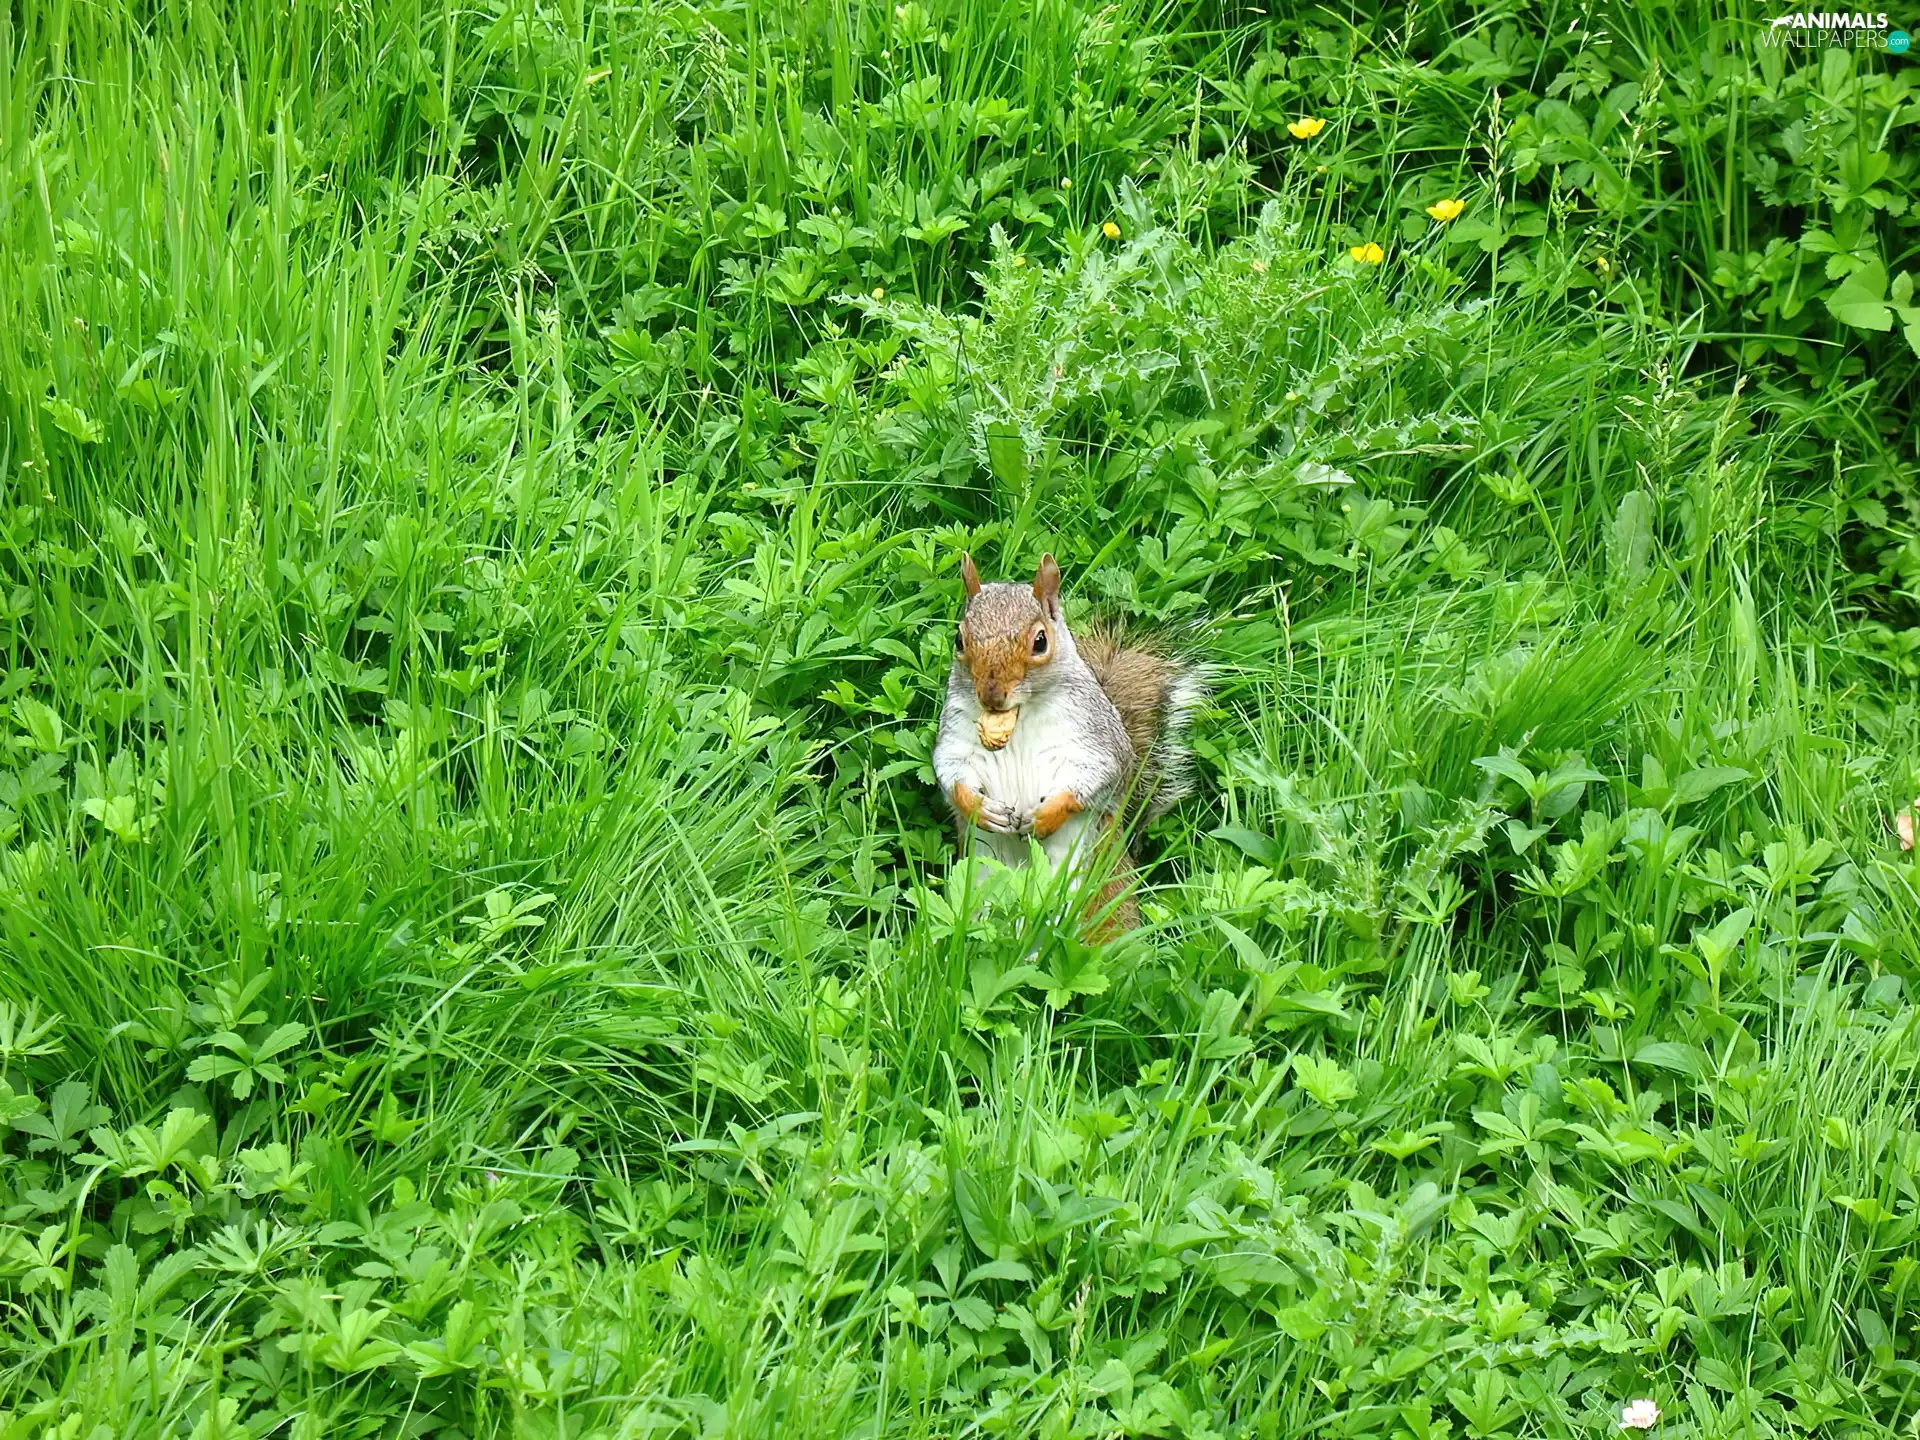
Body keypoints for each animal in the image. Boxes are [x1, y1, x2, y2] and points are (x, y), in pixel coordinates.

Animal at [932, 552, 1207, 934]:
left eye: (1040, 642)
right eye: (959, 639)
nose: (991, 696)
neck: (1021, 715)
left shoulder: (1096, 740)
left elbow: (1101, 775)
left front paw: (1047, 816)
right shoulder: (957, 733)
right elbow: (950, 771)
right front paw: (979, 809)